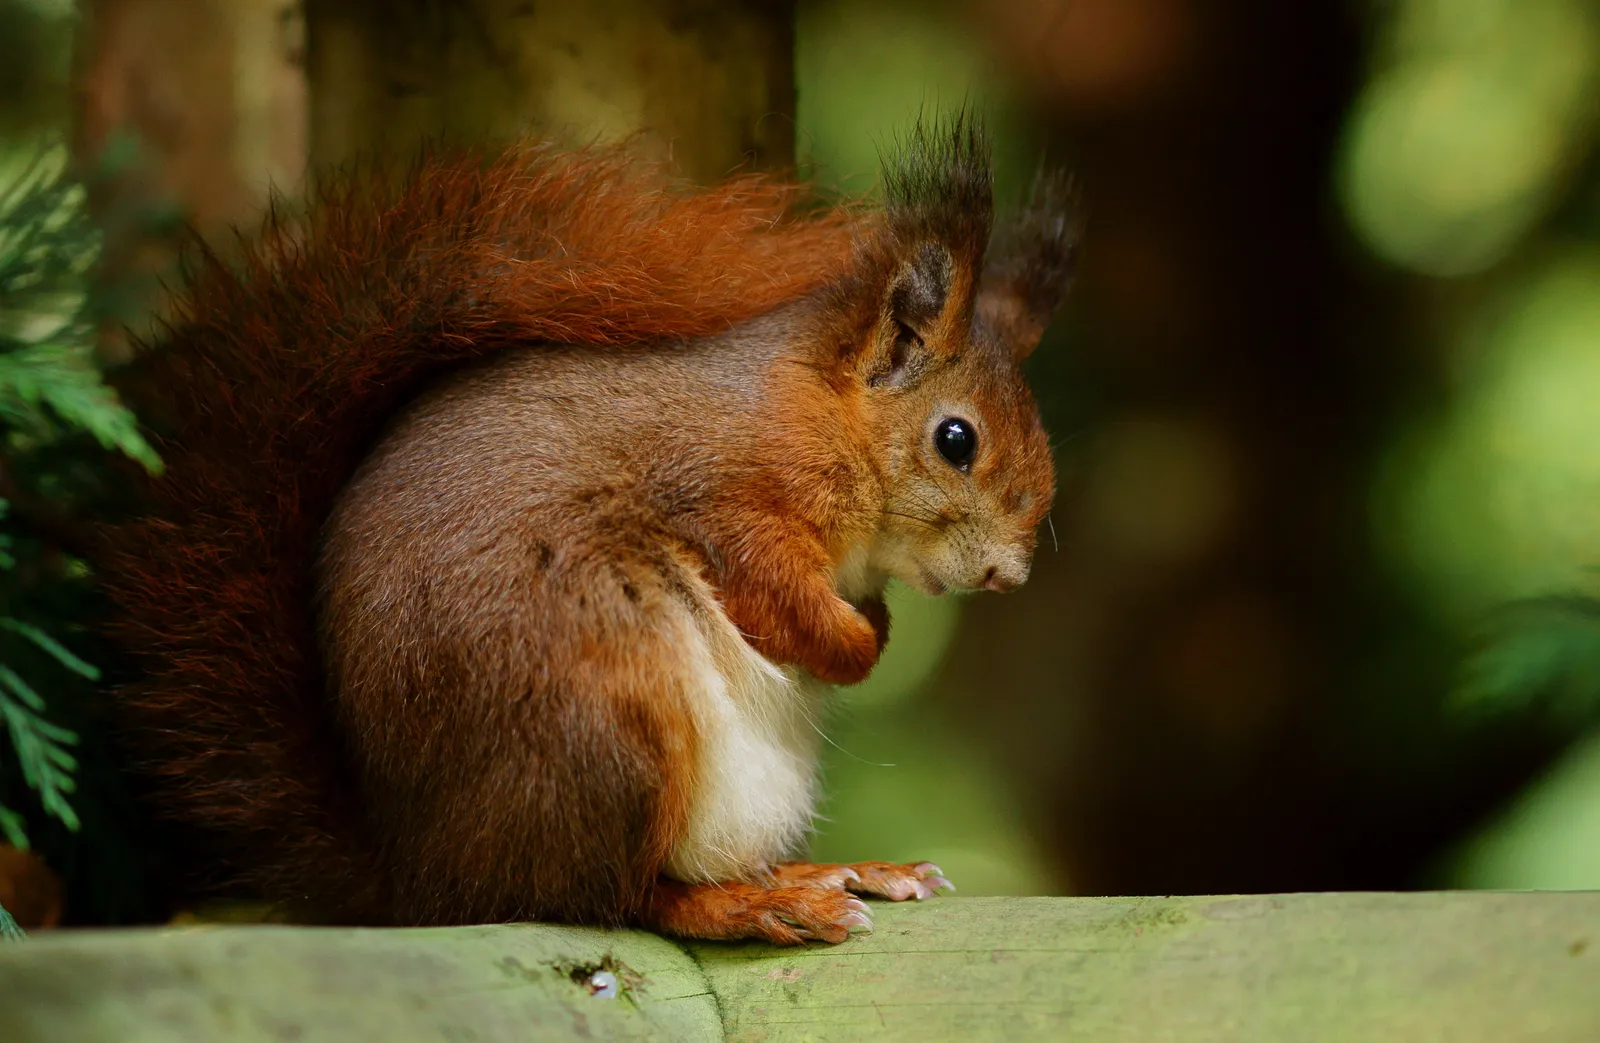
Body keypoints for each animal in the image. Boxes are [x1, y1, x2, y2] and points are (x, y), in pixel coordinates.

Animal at [94, 114, 1076, 944]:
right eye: (956, 439)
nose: (1009, 574)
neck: (817, 411)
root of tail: (423, 875)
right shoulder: (727, 496)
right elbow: (775, 593)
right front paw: (860, 642)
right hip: (611, 708)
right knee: (617, 895)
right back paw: (759, 905)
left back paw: (841, 871)